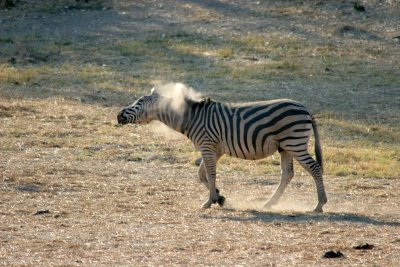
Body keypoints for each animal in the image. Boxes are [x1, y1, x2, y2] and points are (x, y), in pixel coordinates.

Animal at [117, 86, 326, 214]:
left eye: (138, 103)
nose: (118, 115)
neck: (191, 118)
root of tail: (306, 109)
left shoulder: (207, 146)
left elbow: (210, 174)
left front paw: (209, 201)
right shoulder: (214, 149)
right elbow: (202, 174)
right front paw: (220, 197)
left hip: (294, 143)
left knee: (314, 168)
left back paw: (319, 204)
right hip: (285, 147)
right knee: (287, 174)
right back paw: (269, 203)